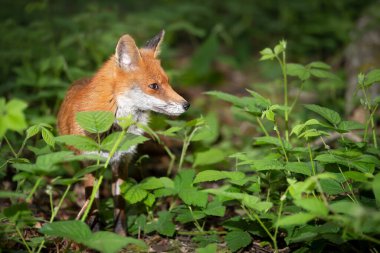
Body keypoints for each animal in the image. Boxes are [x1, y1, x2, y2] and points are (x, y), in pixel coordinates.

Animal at [56, 30, 190, 235]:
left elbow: (120, 205)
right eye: (154, 86)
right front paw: (92, 233)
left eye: (168, 83)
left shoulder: (122, 161)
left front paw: (122, 235)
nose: (186, 105)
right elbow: (92, 205)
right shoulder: (90, 162)